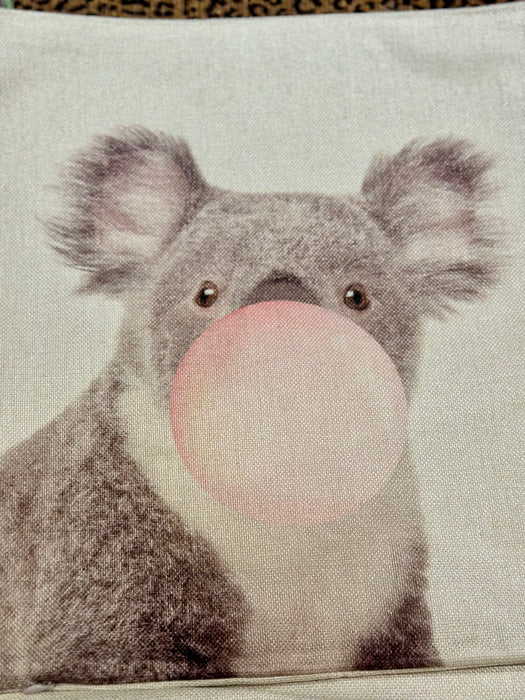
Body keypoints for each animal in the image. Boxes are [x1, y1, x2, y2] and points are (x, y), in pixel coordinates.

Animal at [0, 128, 501, 689]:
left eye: (357, 296)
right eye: (205, 293)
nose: (280, 320)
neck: (276, 466)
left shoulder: (391, 591)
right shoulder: (107, 591)